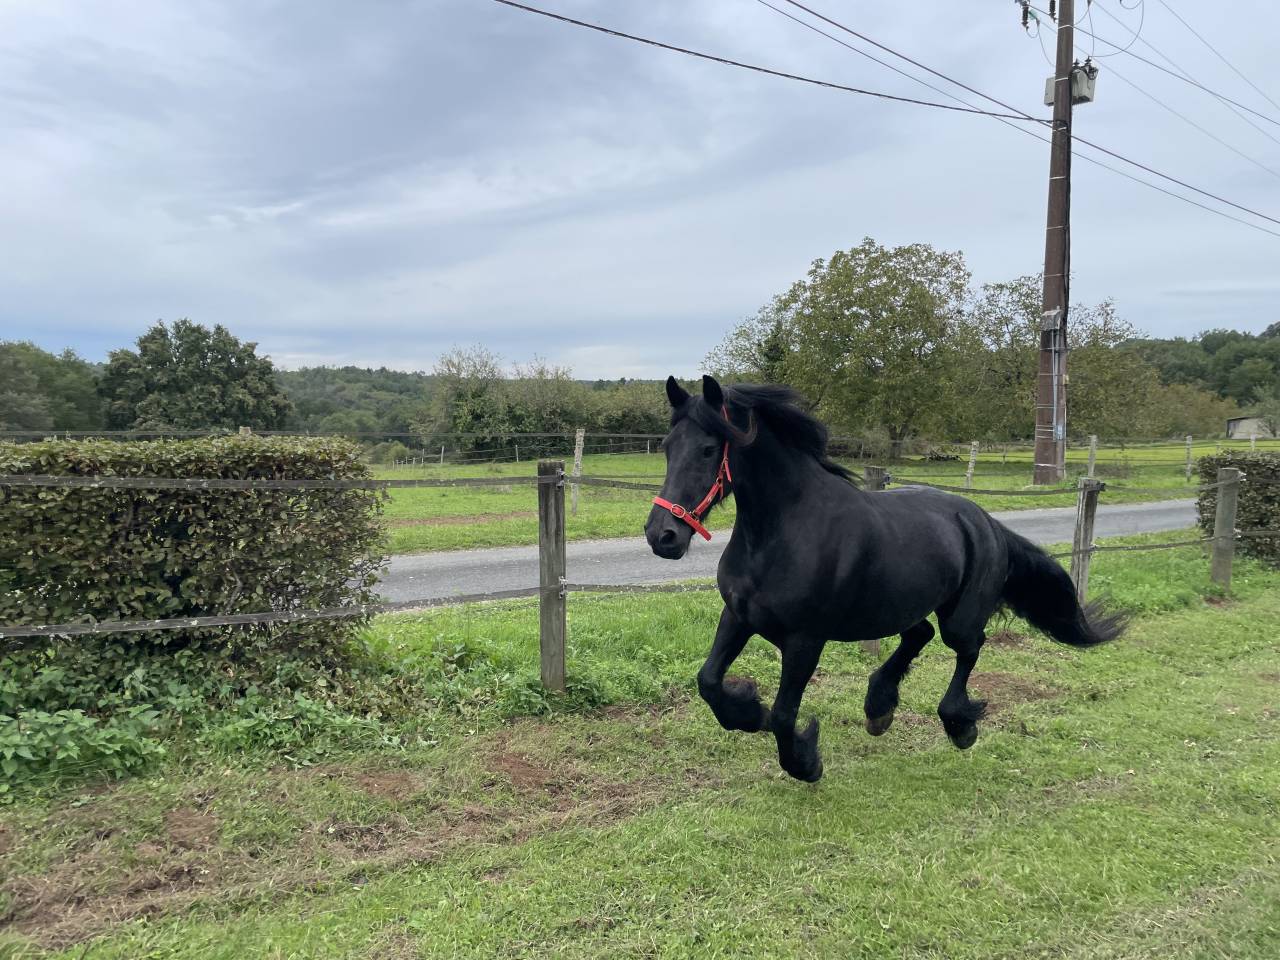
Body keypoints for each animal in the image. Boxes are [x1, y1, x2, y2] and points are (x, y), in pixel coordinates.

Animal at [644, 375, 1126, 782]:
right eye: (667, 446)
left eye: (709, 449)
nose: (662, 536)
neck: (781, 533)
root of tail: (985, 520)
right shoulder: (738, 616)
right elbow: (708, 682)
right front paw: (748, 712)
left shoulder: (805, 640)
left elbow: (783, 715)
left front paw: (805, 761)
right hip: (899, 604)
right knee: (920, 635)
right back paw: (879, 708)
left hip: (958, 616)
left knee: (968, 647)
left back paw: (959, 725)